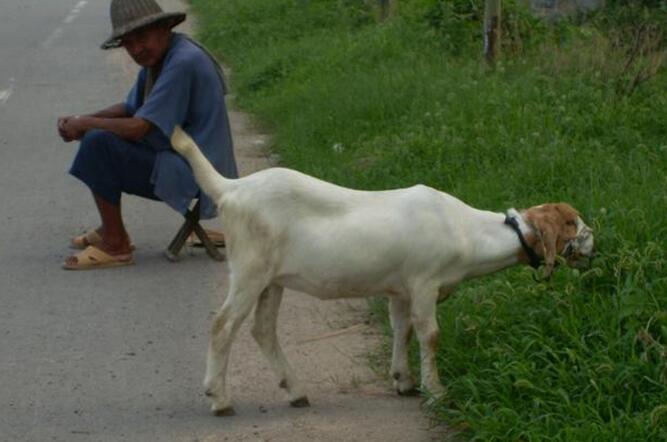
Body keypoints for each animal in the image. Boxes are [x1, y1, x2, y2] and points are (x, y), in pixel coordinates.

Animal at [171, 126, 596, 416]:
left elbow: (402, 329)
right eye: (572, 222)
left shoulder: (401, 290)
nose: (593, 244)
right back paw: (220, 399)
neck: (465, 231)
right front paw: (436, 391)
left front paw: (403, 380)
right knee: (223, 325)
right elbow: (430, 335)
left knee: (262, 329)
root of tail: (231, 189)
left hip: (271, 280)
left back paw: (295, 391)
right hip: (249, 269)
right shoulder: (424, 282)